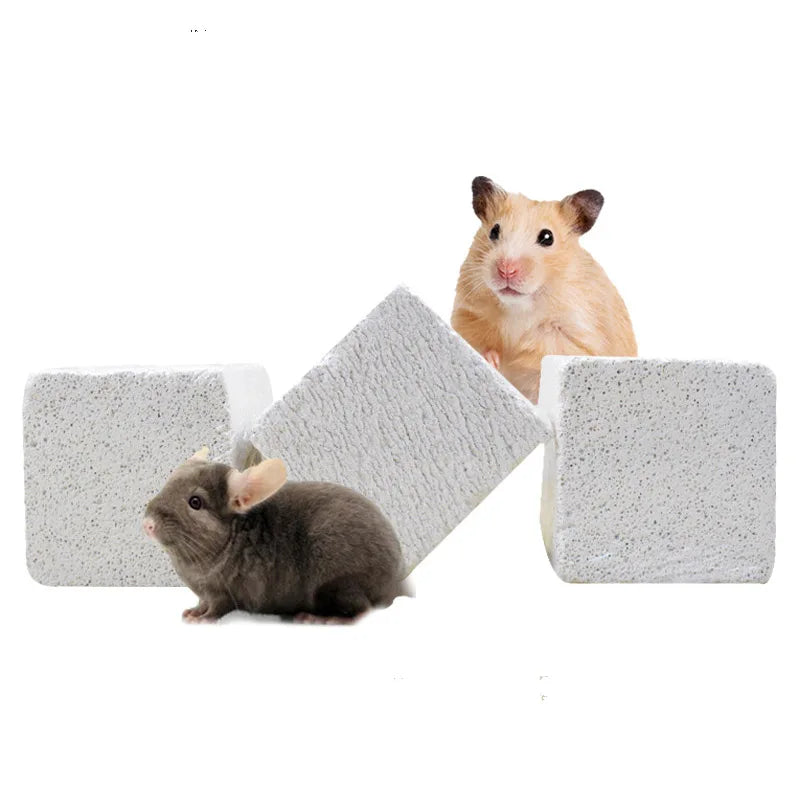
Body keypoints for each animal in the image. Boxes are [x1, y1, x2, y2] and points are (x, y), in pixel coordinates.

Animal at [143, 447, 404, 623]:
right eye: (168, 483)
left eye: (195, 502)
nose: (147, 524)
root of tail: (394, 585)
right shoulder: (205, 594)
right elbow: (202, 603)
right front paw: (192, 612)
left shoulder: (223, 593)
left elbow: (217, 608)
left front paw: (199, 619)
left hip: (339, 582)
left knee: (365, 610)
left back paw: (319, 618)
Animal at [451, 177, 637, 402]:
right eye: (494, 231)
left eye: (547, 237)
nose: (506, 270)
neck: (519, 306)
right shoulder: (468, 313)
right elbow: (480, 343)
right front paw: (493, 360)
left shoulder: (574, 336)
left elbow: (537, 357)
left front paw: (518, 358)